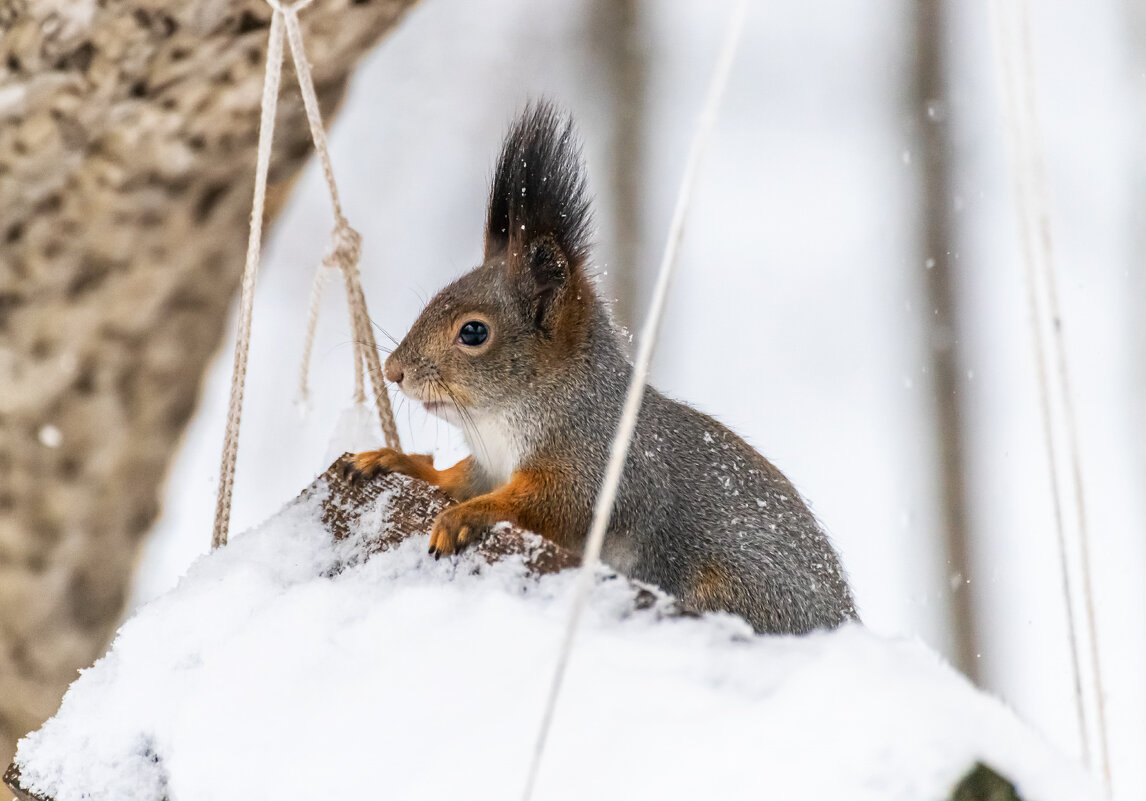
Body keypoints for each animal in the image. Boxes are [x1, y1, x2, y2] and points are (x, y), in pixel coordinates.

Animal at [343, 101, 857, 637]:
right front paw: (391, 459)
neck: (504, 420)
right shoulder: (489, 462)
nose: (393, 371)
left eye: (474, 332)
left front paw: (464, 516)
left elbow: (550, 506)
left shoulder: (601, 468)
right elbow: (453, 478)